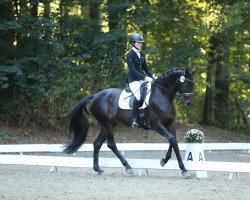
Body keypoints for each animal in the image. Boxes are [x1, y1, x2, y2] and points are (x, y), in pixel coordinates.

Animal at [63, 67, 196, 178]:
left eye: (193, 84)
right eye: (186, 83)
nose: (189, 103)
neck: (162, 94)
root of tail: (95, 95)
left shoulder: (170, 123)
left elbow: (173, 141)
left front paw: (169, 162)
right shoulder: (156, 124)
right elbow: (171, 139)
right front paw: (179, 167)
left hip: (107, 125)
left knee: (97, 144)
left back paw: (98, 169)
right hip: (108, 124)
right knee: (111, 144)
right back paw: (128, 167)